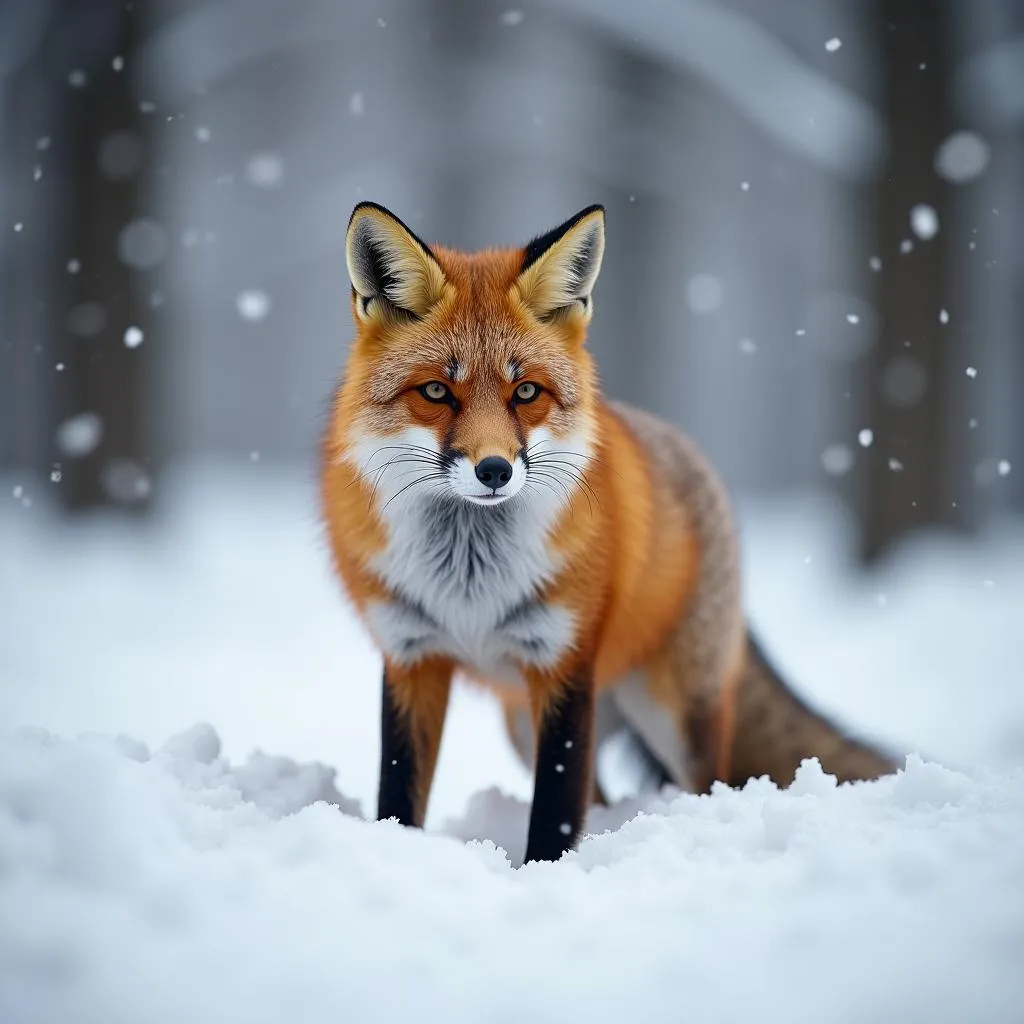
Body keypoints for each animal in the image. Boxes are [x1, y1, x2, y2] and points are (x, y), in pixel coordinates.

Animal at [319, 199, 897, 864]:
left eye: (526, 392)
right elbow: (400, 794)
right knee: (597, 797)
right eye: (437, 390)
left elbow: (554, 813)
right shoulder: (412, 656)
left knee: (701, 786)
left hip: (674, 714)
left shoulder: (564, 663)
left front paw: (543, 875)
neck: (470, 581)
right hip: (523, 724)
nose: (494, 470)